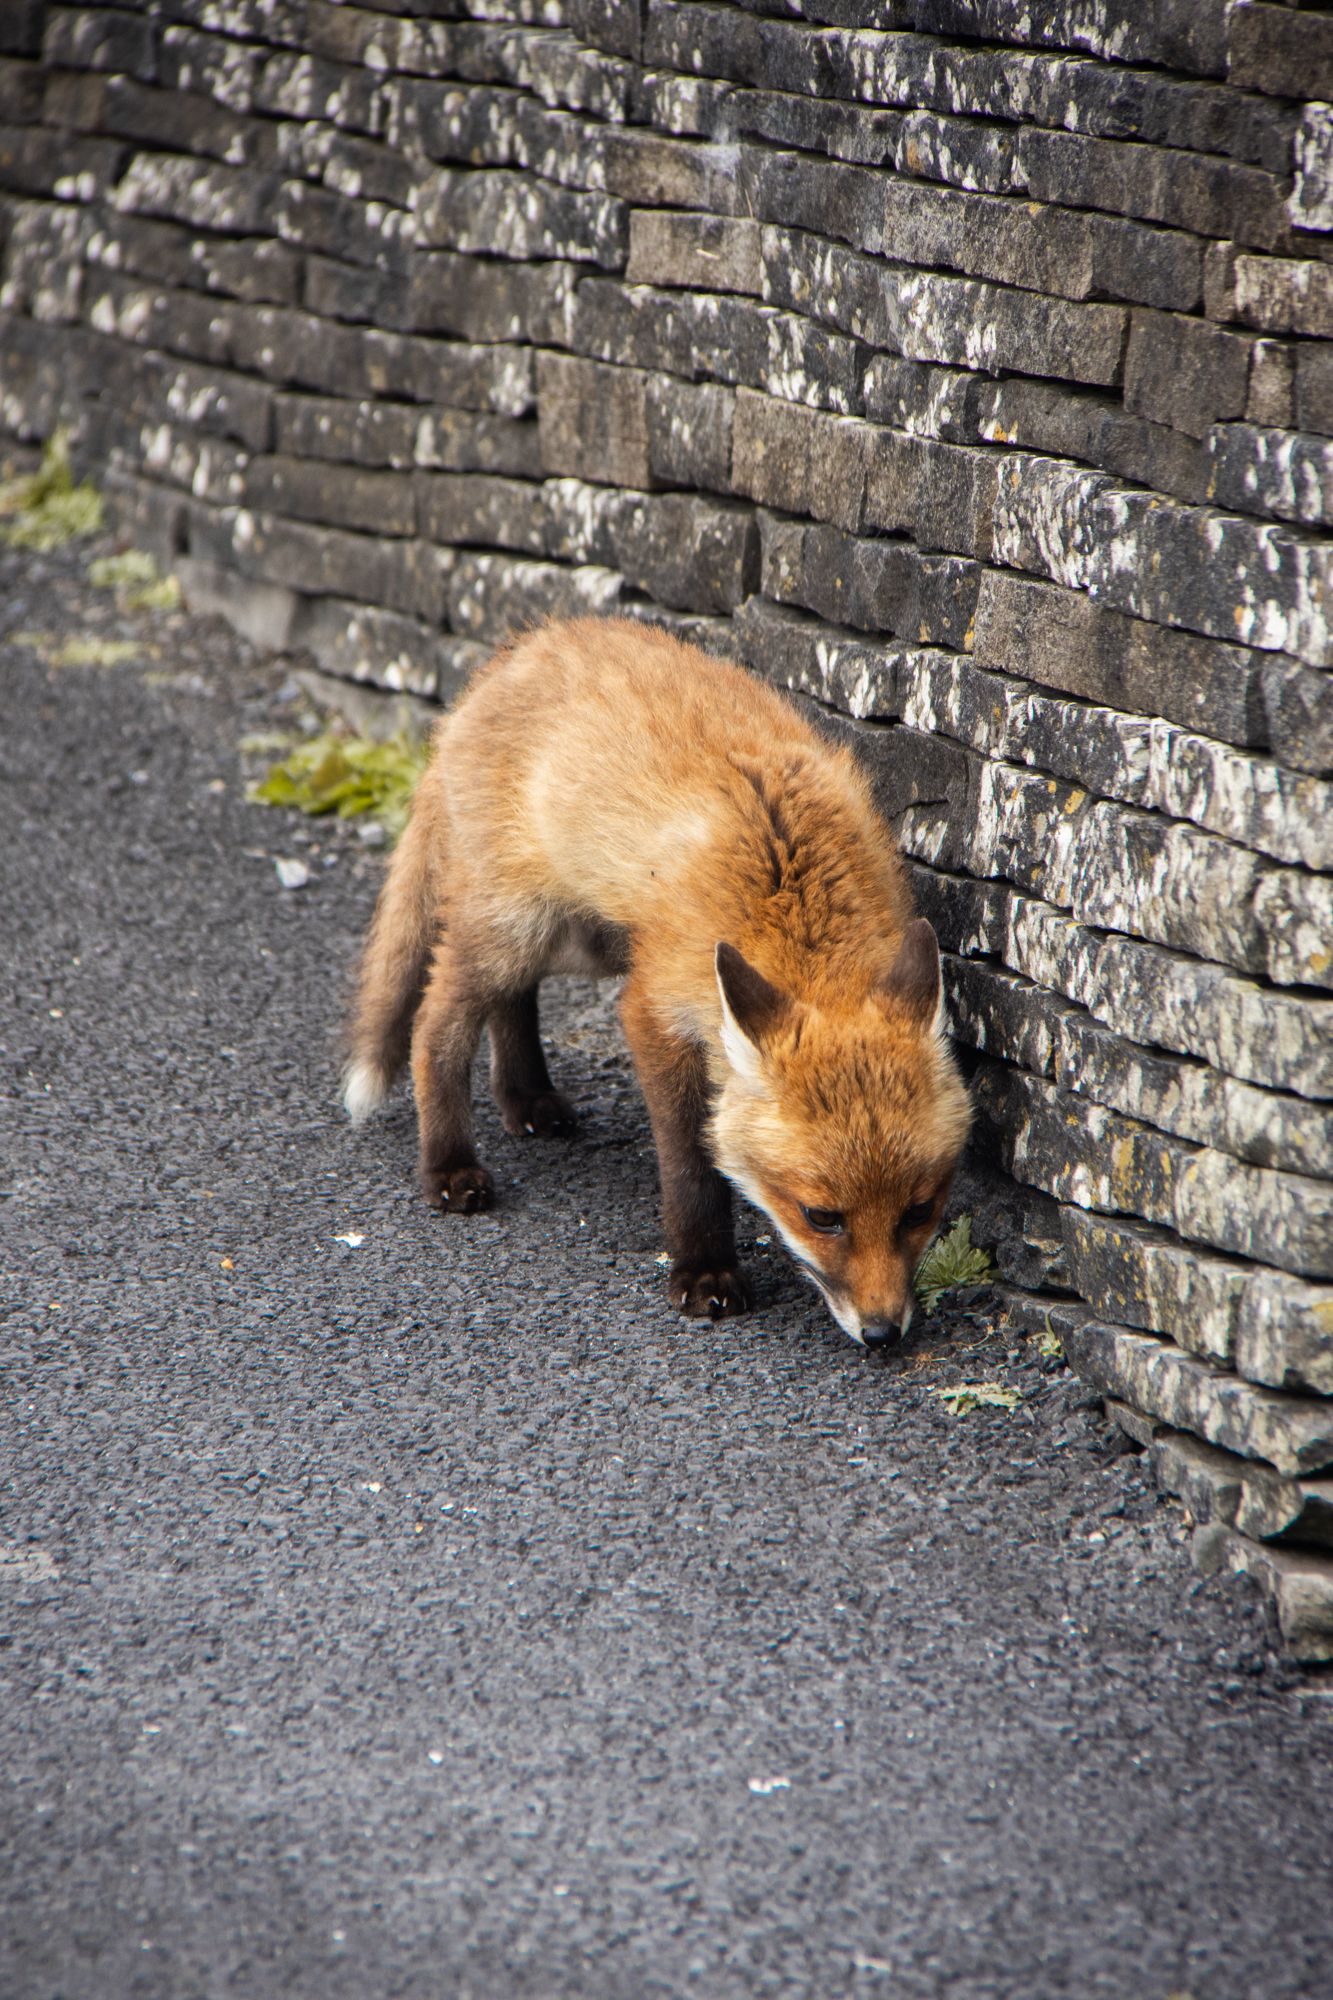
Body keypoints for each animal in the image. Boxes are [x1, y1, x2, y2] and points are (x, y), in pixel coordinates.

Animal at [342, 616, 971, 1350]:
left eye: (918, 1210)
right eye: (821, 1216)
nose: (883, 1333)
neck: (789, 901)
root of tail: (515, 650)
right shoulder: (654, 1008)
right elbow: (691, 1165)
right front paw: (704, 1272)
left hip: (576, 939)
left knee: (513, 1001)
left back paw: (527, 1098)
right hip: (517, 928)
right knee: (434, 1021)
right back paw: (447, 1164)